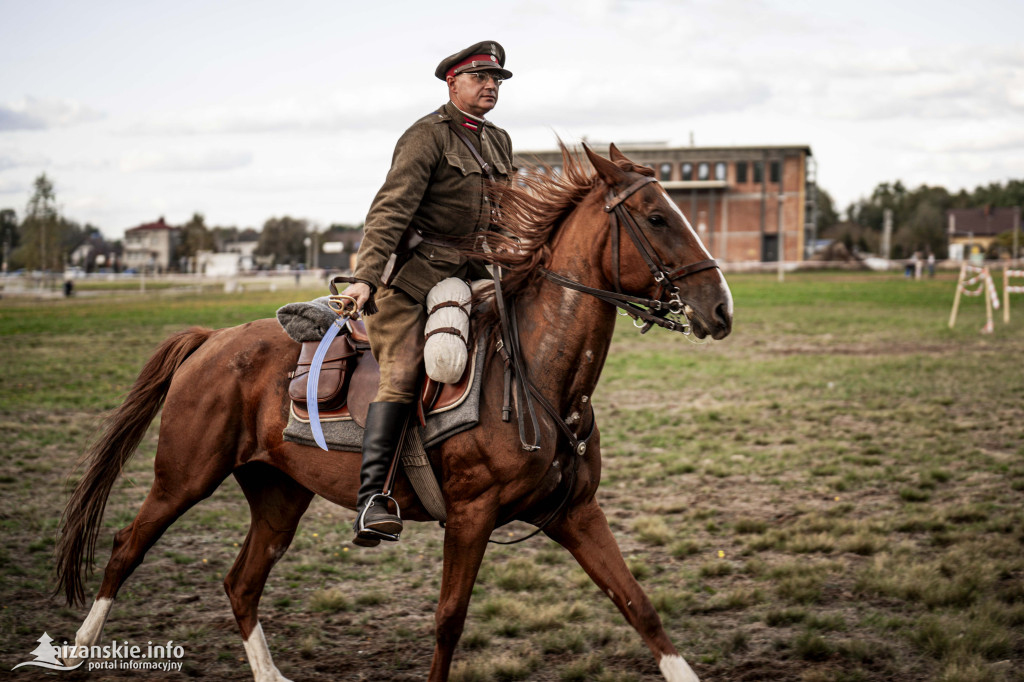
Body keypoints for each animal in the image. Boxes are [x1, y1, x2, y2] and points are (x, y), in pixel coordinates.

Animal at [56, 144, 733, 679]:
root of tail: (212, 339)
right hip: (183, 478)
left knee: (240, 583)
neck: (533, 374)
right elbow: (449, 622)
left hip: (279, 495)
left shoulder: (576, 513)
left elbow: (640, 606)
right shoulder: (471, 516)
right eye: (657, 217)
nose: (720, 308)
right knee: (126, 547)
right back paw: (79, 650)